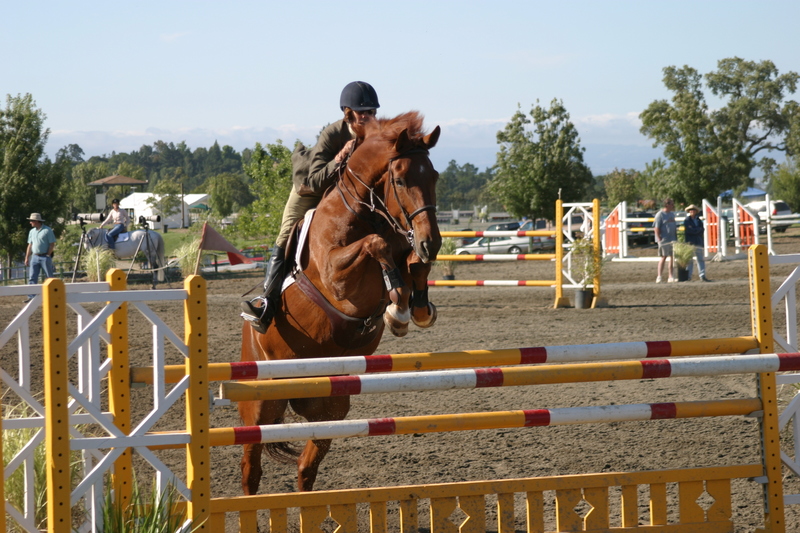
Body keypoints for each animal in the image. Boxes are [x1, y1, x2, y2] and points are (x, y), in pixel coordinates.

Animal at [239, 111, 442, 495]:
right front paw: (396, 303)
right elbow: (377, 245)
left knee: (306, 467)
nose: (433, 242)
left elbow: (413, 264)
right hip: (262, 402)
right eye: (400, 179)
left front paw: (413, 310)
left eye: (434, 176)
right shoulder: (338, 276)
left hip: (331, 409)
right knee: (251, 468)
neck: (366, 211)